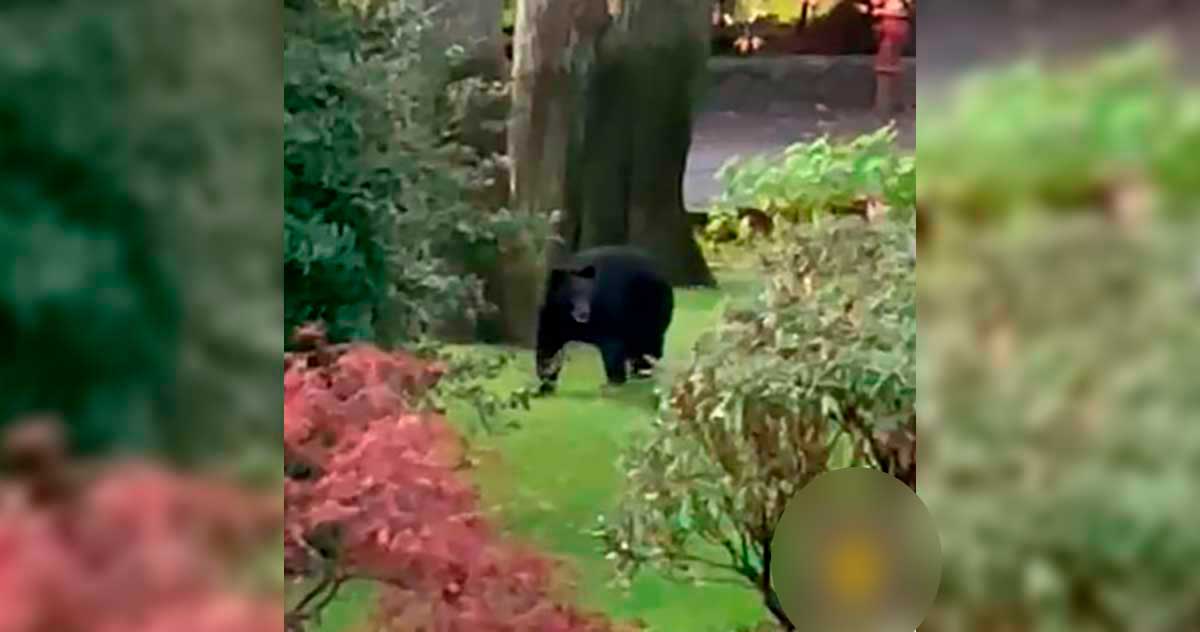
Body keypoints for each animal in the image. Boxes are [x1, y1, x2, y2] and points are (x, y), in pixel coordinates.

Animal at [535, 245, 674, 394]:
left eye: (587, 294)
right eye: (572, 295)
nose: (583, 314)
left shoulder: (607, 316)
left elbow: (612, 347)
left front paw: (613, 383)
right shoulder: (551, 318)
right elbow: (548, 346)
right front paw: (546, 382)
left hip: (649, 310)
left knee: (649, 342)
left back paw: (643, 373)